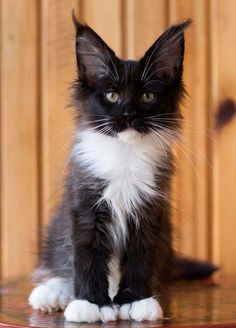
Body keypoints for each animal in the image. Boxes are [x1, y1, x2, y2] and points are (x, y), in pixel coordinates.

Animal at [29, 16, 192, 322]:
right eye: (112, 95)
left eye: (148, 96)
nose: (128, 114)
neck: (124, 155)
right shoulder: (85, 204)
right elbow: (87, 255)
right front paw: (91, 303)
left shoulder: (149, 208)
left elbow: (141, 255)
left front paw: (136, 300)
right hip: (57, 227)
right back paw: (52, 293)